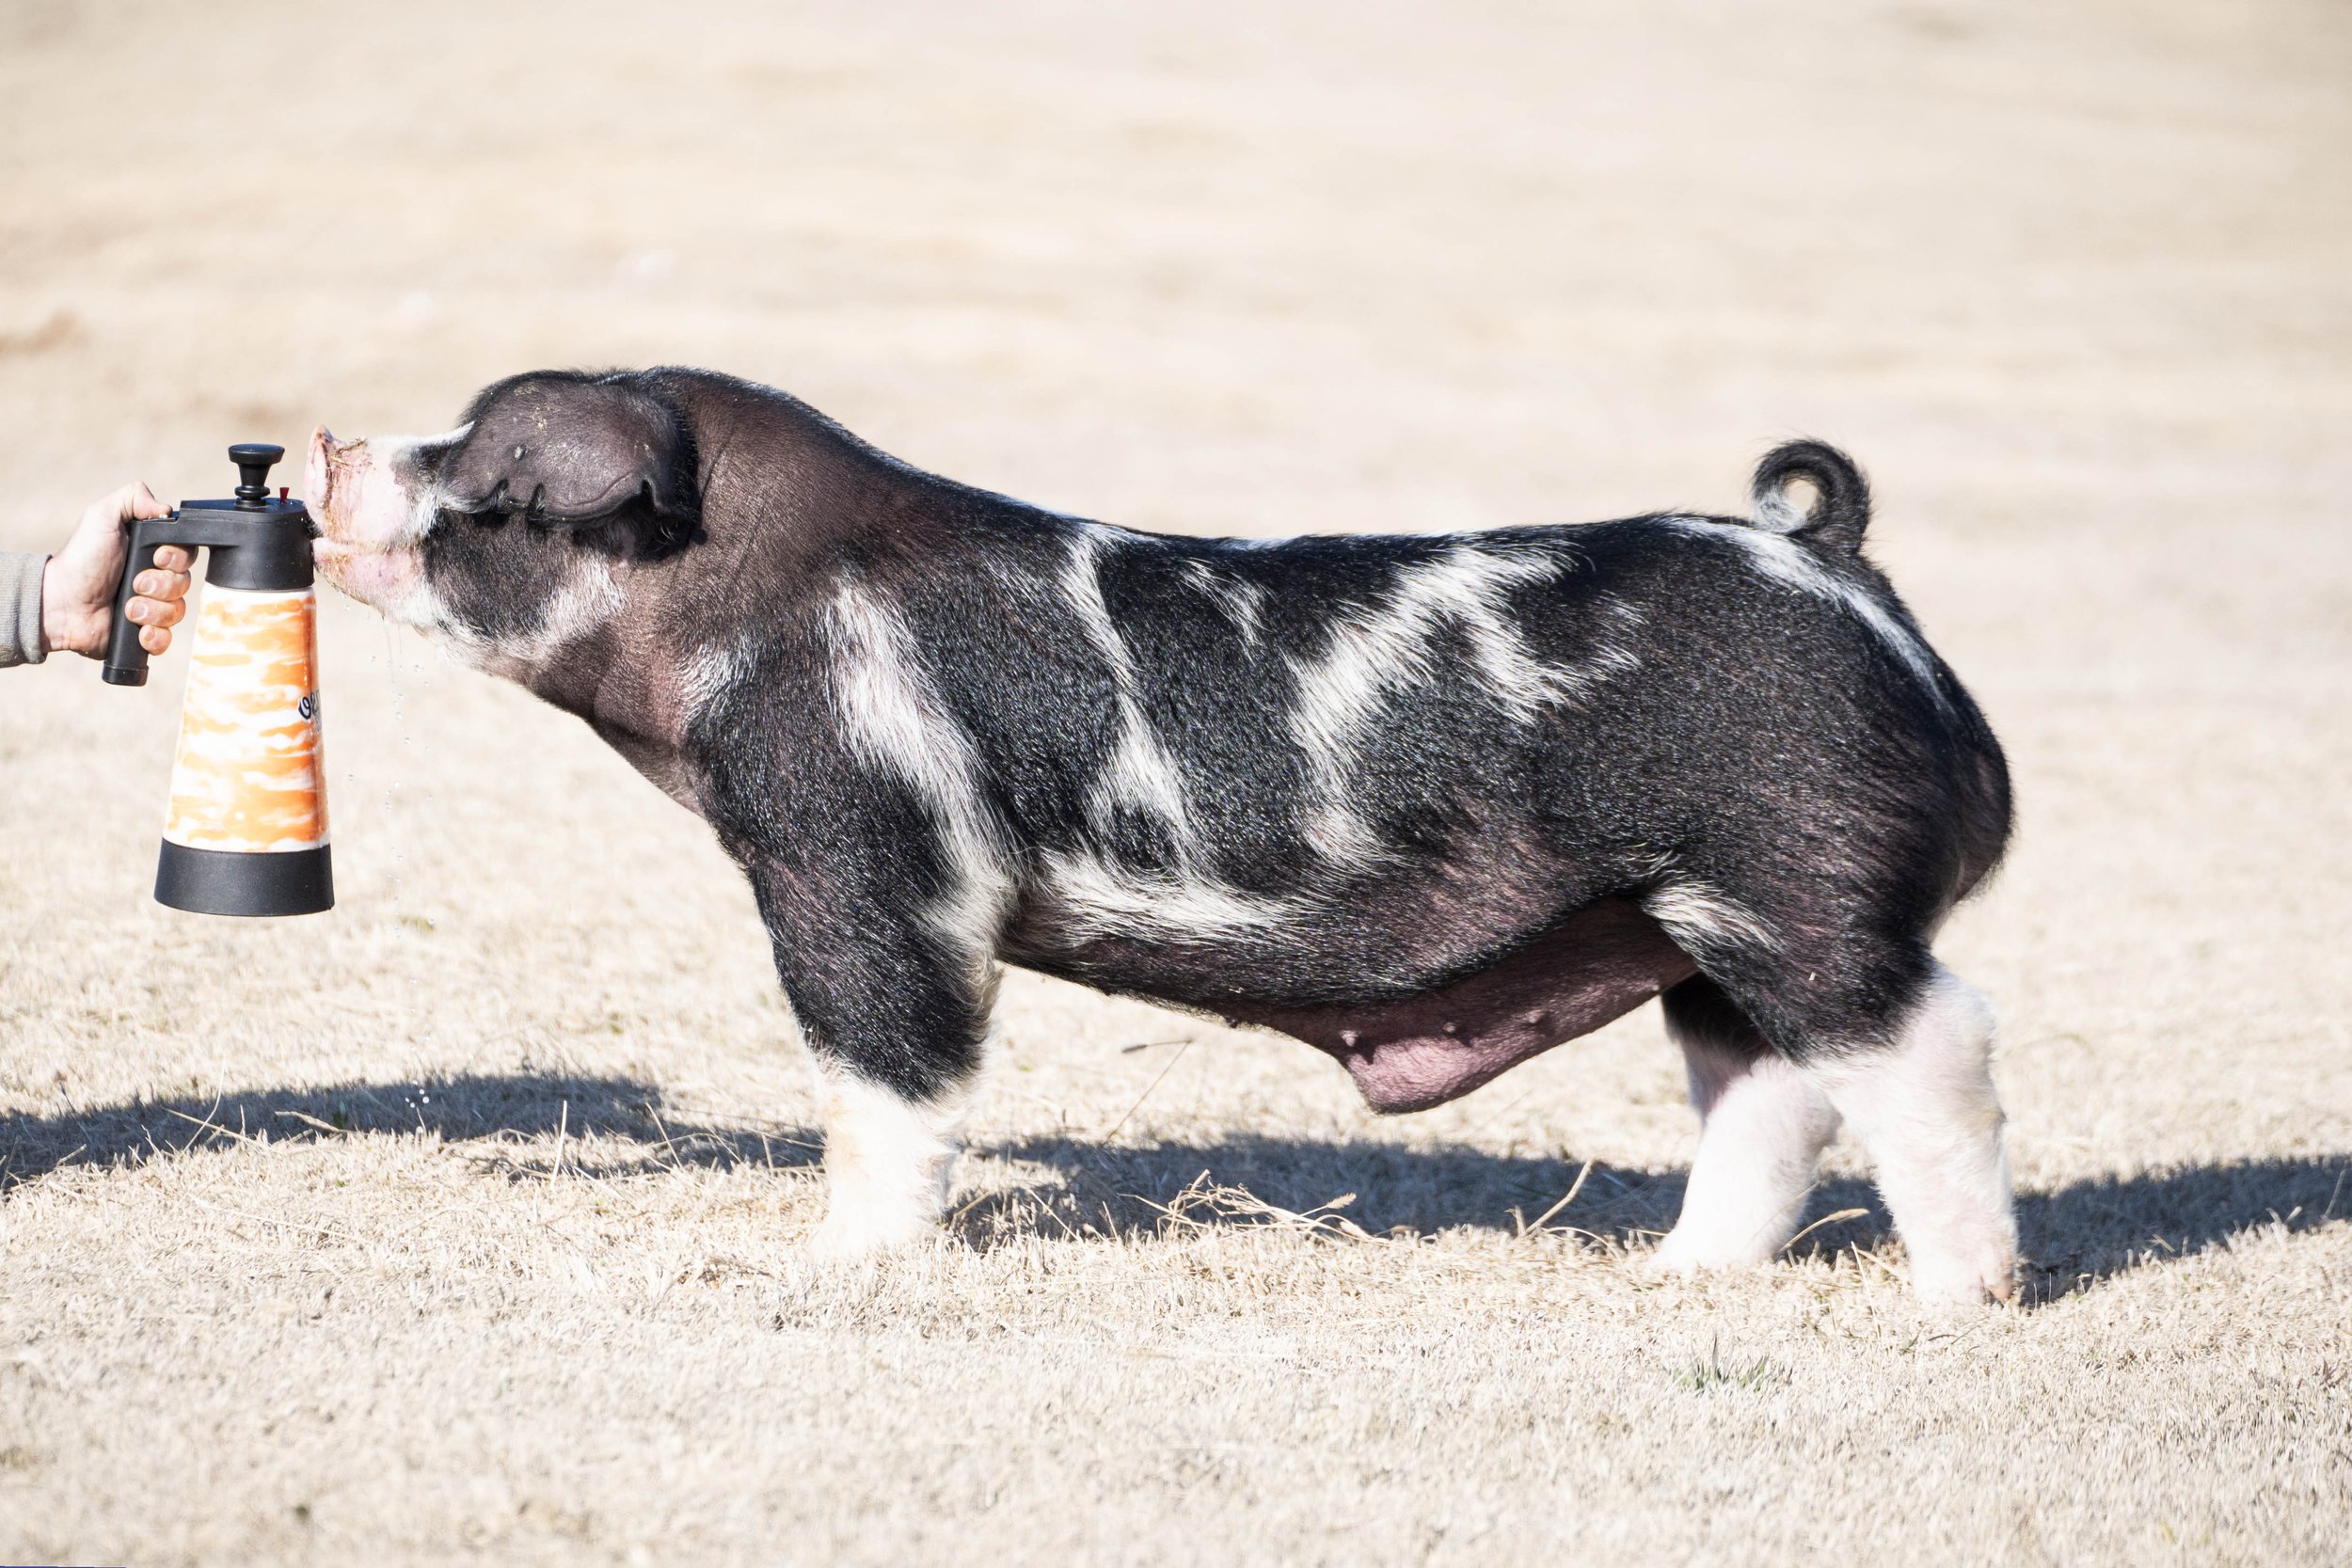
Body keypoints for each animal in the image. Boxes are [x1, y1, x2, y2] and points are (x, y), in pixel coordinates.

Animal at [307, 368, 2018, 1301]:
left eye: (481, 468)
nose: (322, 443)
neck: (761, 613)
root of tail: (1832, 563)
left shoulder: (869, 861)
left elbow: (883, 1075)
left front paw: (845, 1265)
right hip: (1692, 926)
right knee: (1769, 1091)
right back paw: (1679, 1274)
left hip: (1798, 879)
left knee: (1935, 1044)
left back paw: (1963, 1297)